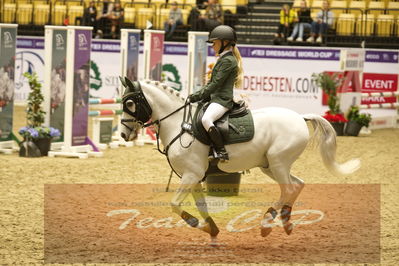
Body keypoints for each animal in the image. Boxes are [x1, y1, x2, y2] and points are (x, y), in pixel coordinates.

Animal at [120, 78, 360, 242]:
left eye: (130, 103)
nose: (123, 135)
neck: (179, 124)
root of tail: (301, 117)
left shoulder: (190, 175)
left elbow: (174, 204)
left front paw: (196, 223)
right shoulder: (194, 177)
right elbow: (201, 205)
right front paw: (211, 229)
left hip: (278, 162)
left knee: (289, 189)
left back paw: (267, 222)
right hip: (270, 166)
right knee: (298, 184)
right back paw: (285, 221)